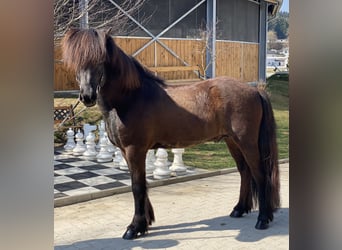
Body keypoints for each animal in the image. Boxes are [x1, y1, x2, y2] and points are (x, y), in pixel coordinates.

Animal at [62, 27, 280, 240]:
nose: (87, 96)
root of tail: (255, 91)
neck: (131, 98)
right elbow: (141, 185)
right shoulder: (126, 151)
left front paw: (134, 228)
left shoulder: (134, 150)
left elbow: (137, 186)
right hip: (232, 142)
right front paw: (145, 223)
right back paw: (239, 209)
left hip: (247, 143)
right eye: (75, 62)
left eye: (100, 60)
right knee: (244, 172)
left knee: (260, 175)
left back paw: (263, 219)